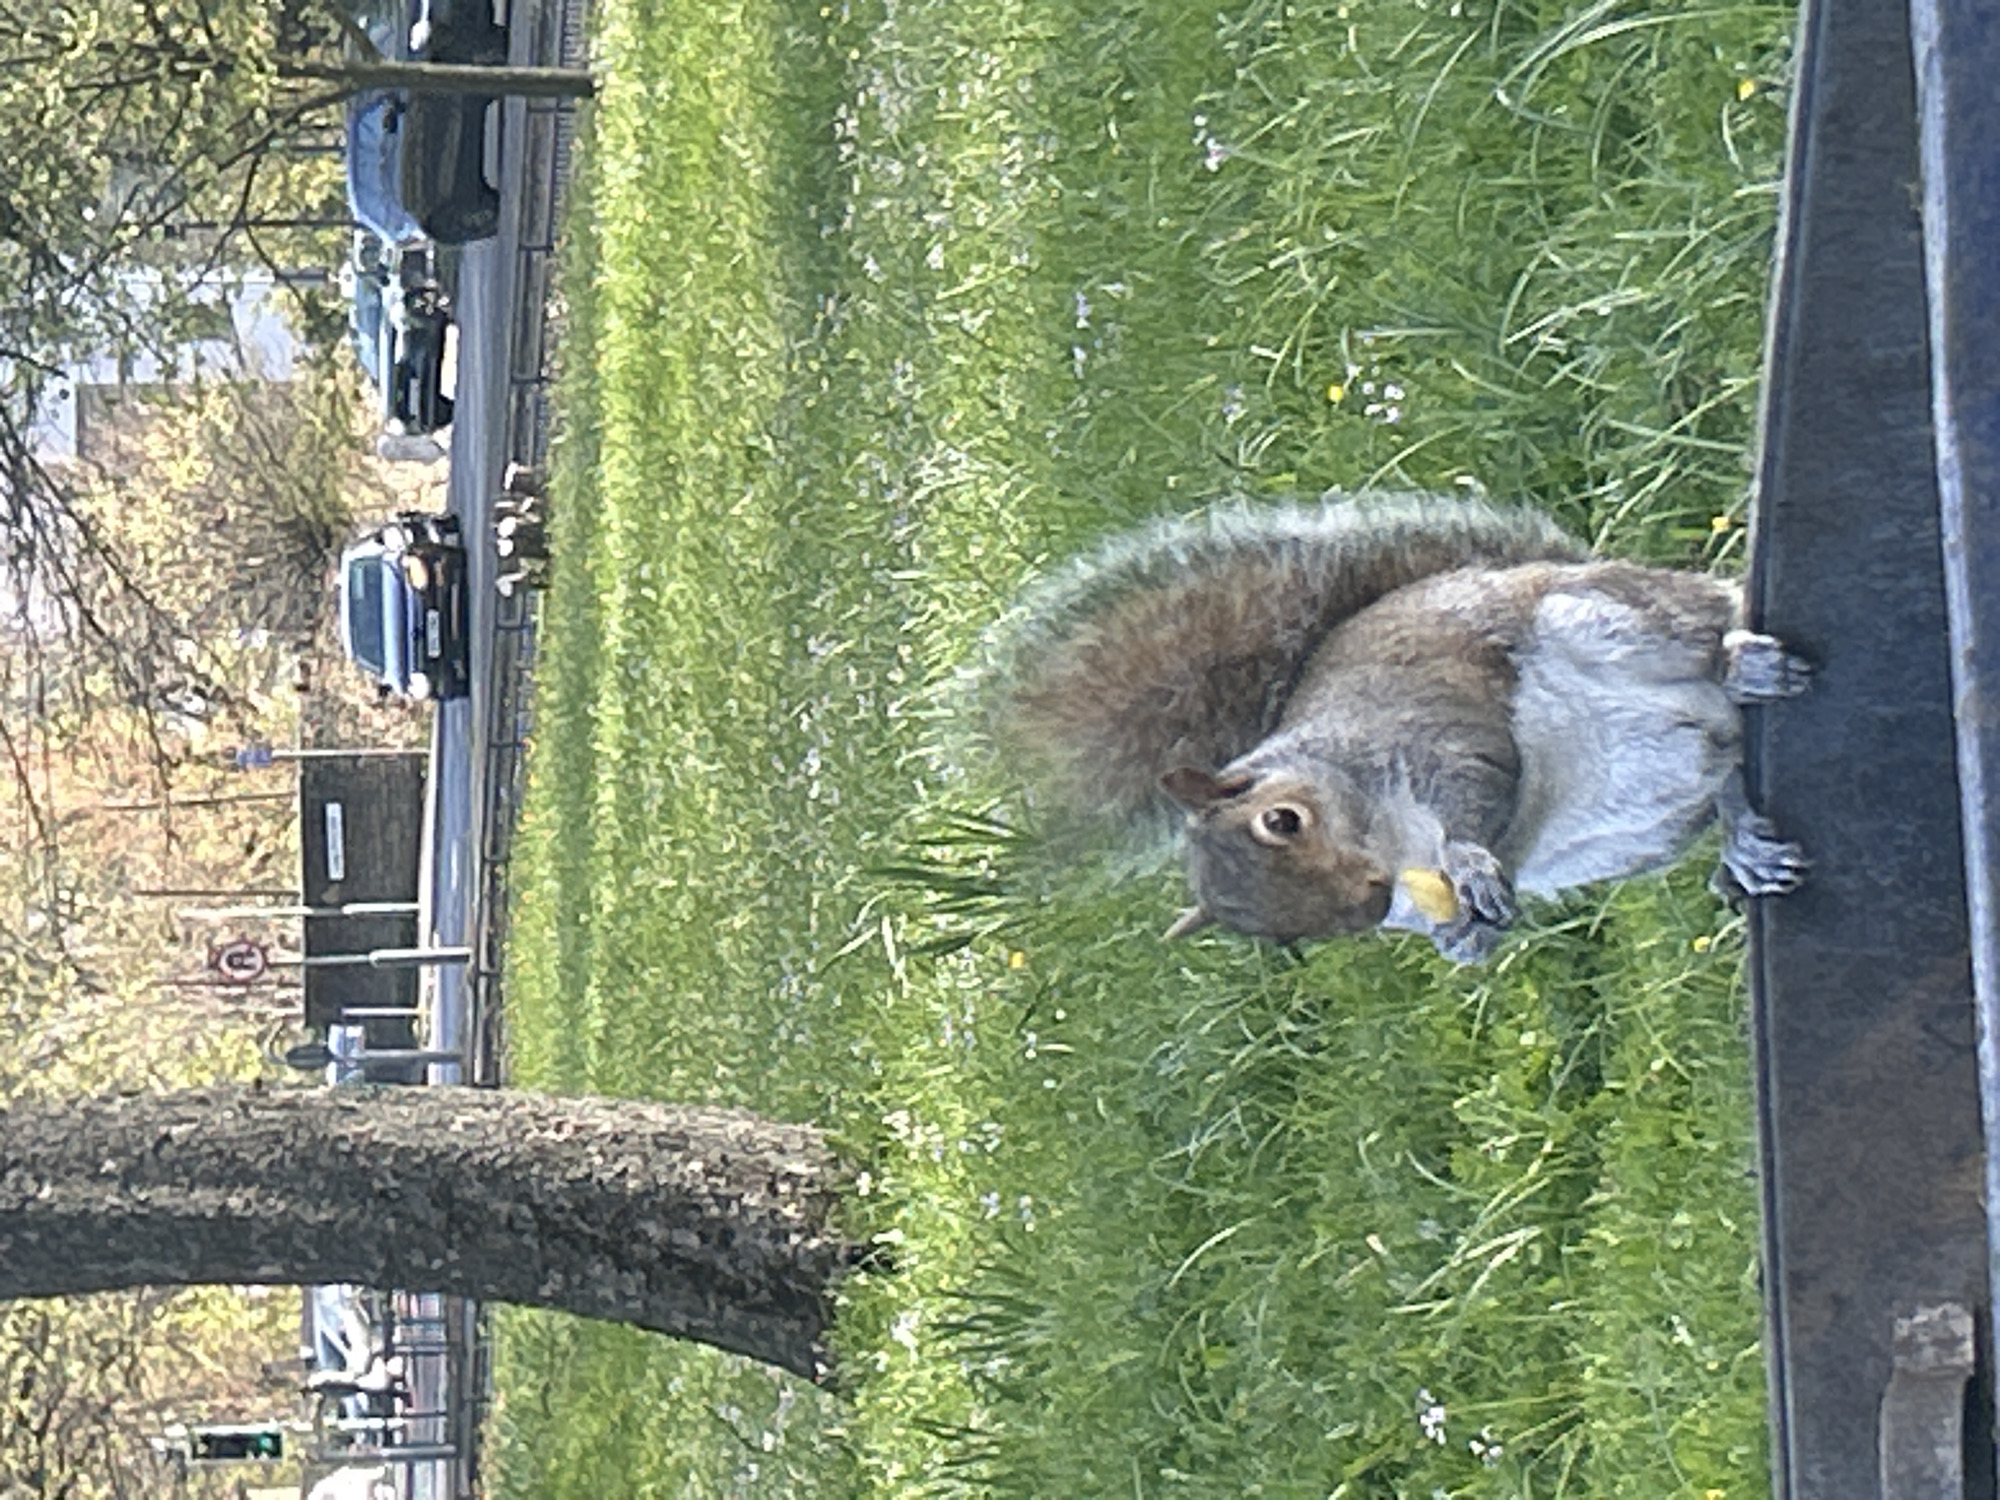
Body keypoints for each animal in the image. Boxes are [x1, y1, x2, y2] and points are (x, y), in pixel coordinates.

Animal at [987, 490, 1809, 963]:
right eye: (1279, 936)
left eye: (1282, 821)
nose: (1368, 907)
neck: (1395, 838)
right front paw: (1465, 941)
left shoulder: (1430, 733)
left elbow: (1480, 785)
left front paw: (1470, 863)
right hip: (1638, 832)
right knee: (1725, 774)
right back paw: (1744, 842)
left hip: (1603, 616)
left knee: (1703, 634)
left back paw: (1743, 665)